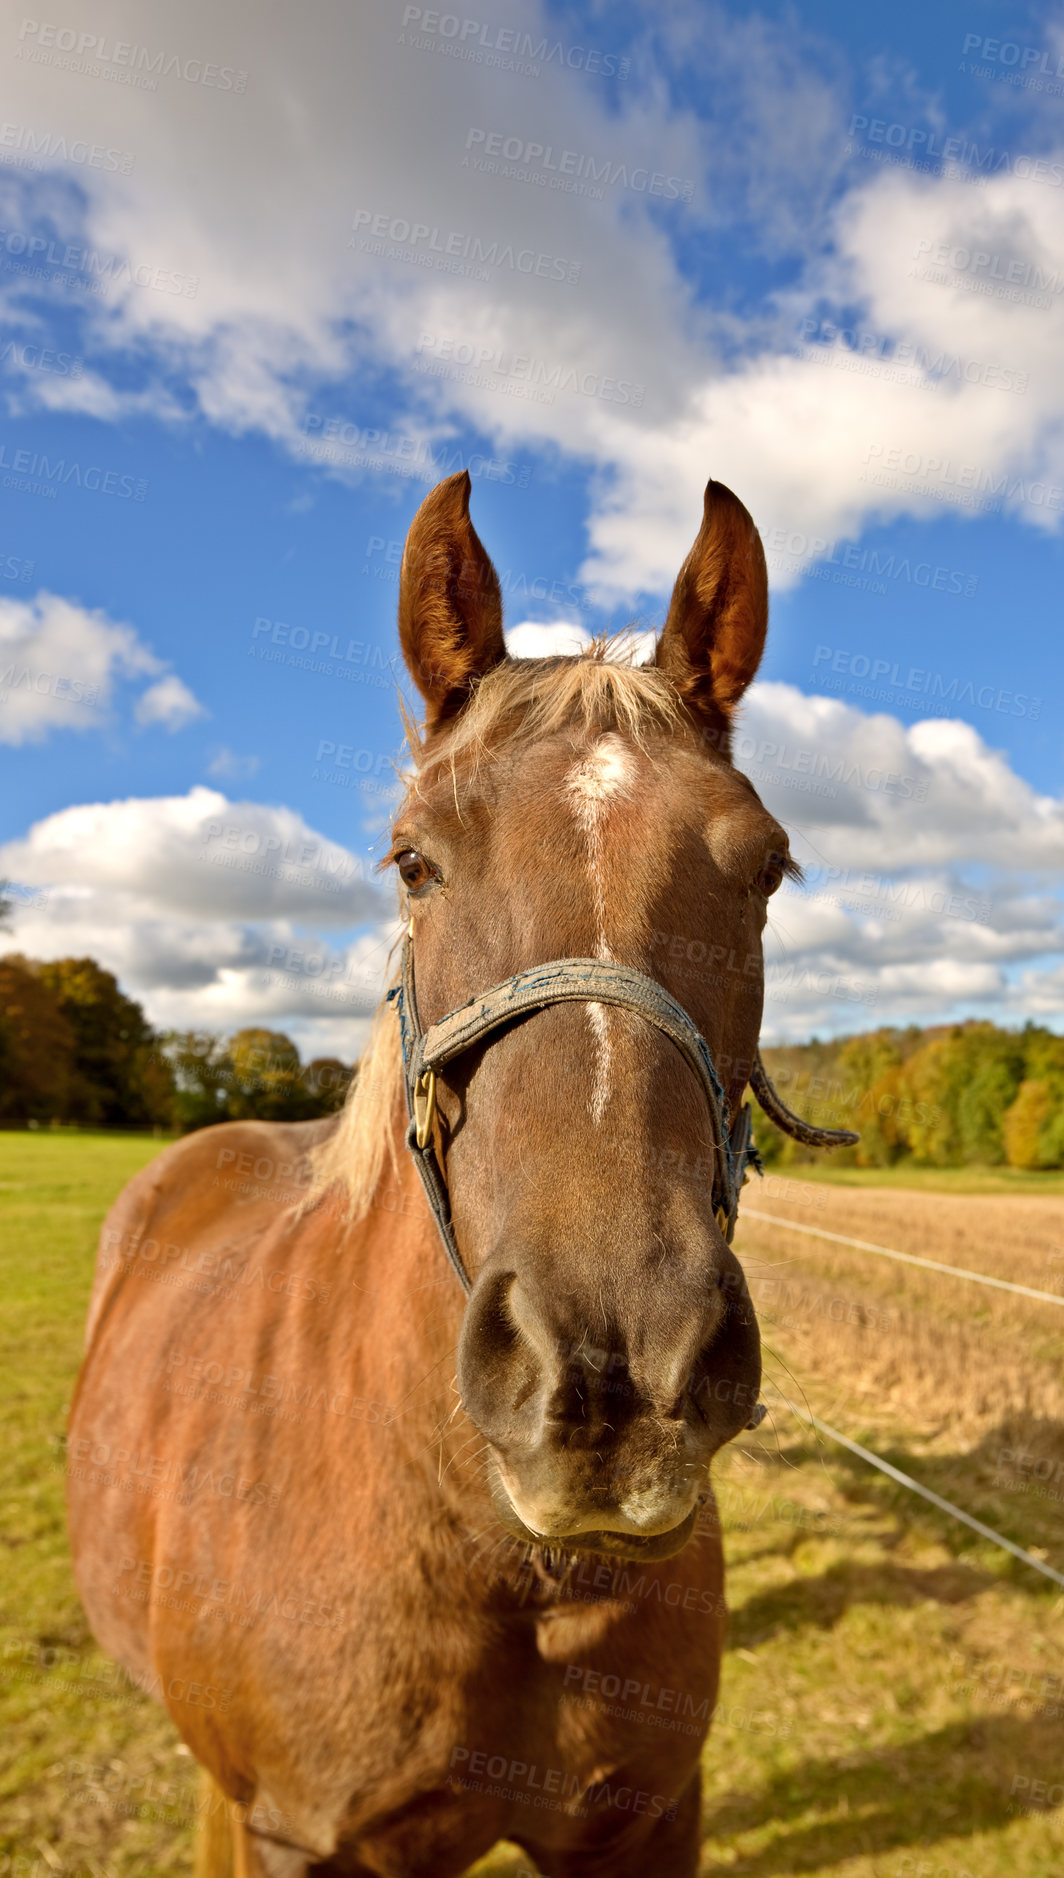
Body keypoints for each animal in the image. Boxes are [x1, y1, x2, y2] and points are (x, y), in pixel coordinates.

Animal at [64, 469, 848, 1878]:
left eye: (764, 867)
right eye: (413, 860)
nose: (614, 1365)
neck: (491, 1557)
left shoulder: (645, 1819)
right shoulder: (296, 1838)